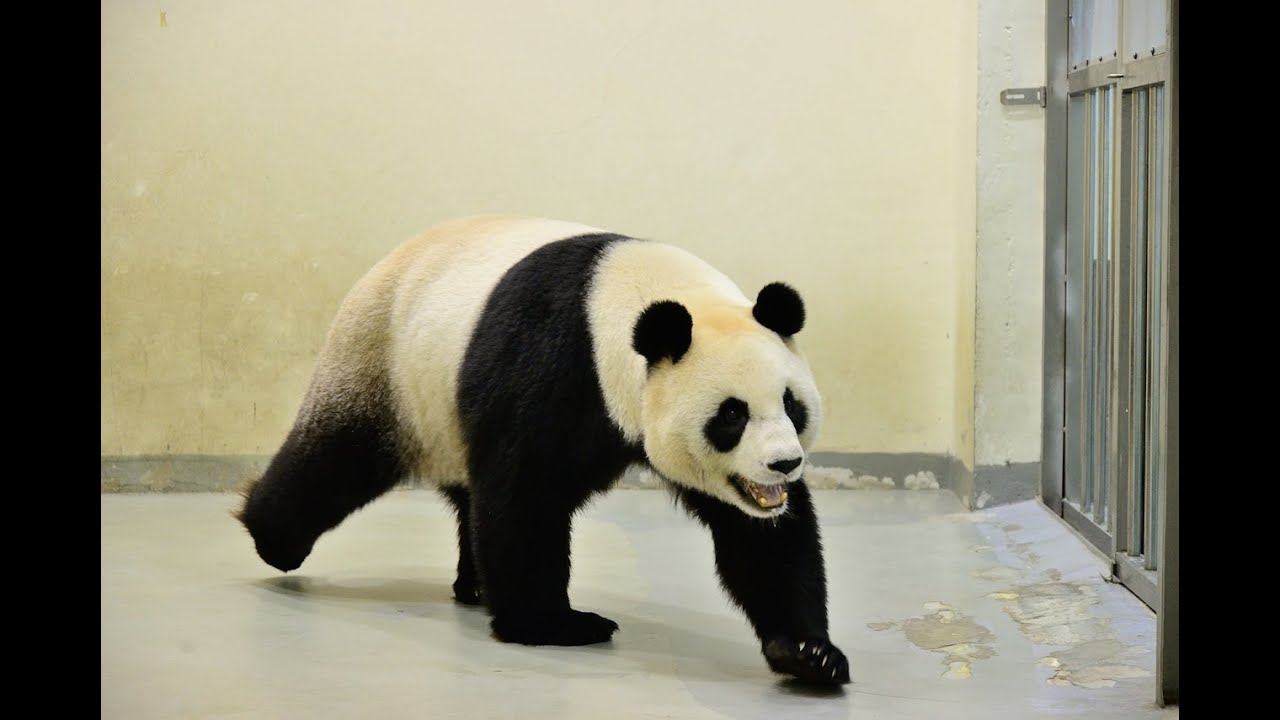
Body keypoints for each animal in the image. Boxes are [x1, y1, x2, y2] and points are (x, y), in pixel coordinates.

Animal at [237, 214, 850, 685]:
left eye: (791, 405)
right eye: (731, 415)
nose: (784, 463)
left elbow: (762, 540)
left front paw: (808, 654)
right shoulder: (551, 362)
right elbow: (524, 496)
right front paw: (556, 626)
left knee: (466, 492)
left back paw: (475, 584)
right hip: (383, 363)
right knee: (335, 459)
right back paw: (273, 539)